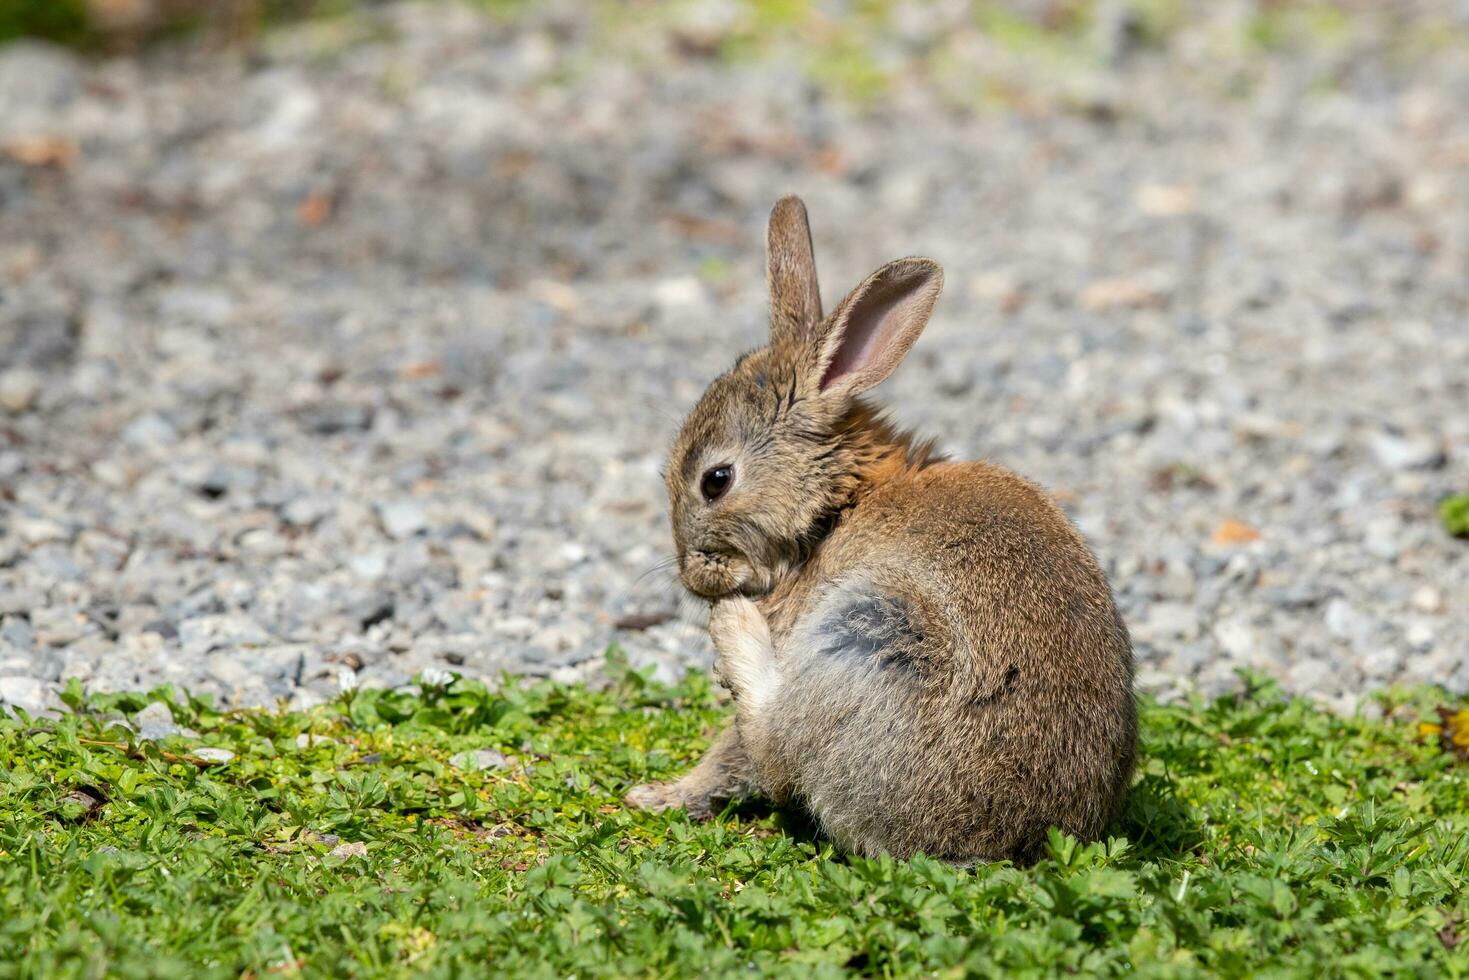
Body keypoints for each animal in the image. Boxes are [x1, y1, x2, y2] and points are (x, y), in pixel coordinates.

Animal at [625, 195, 1139, 863]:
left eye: (716, 480)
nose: (694, 578)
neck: (839, 503)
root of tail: (1002, 841)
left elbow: (736, 754)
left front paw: (659, 796)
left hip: (866, 638)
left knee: (779, 751)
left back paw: (732, 631)